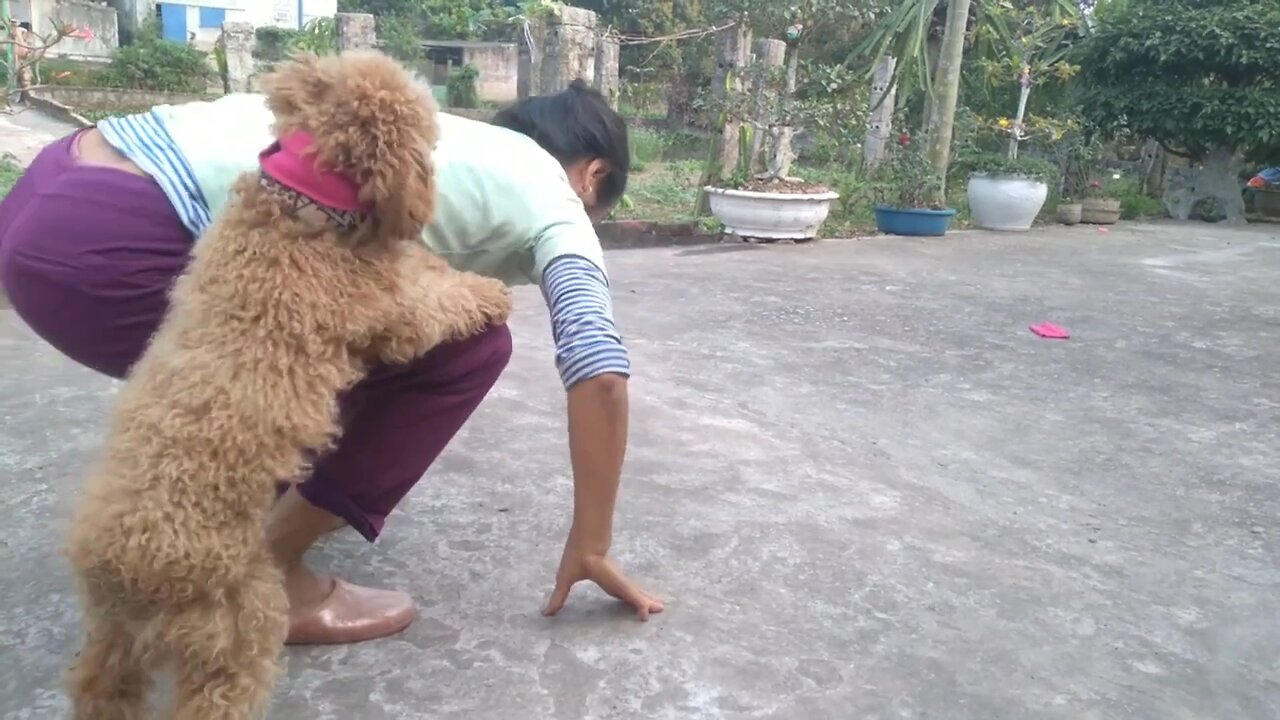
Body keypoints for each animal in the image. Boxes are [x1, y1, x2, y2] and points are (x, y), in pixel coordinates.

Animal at [60, 51, 509, 717]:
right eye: (426, 127)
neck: (301, 204)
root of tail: (132, 564)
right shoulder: (391, 314)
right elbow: (438, 300)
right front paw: (488, 292)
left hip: (114, 645)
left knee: (102, 690)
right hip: (236, 628)